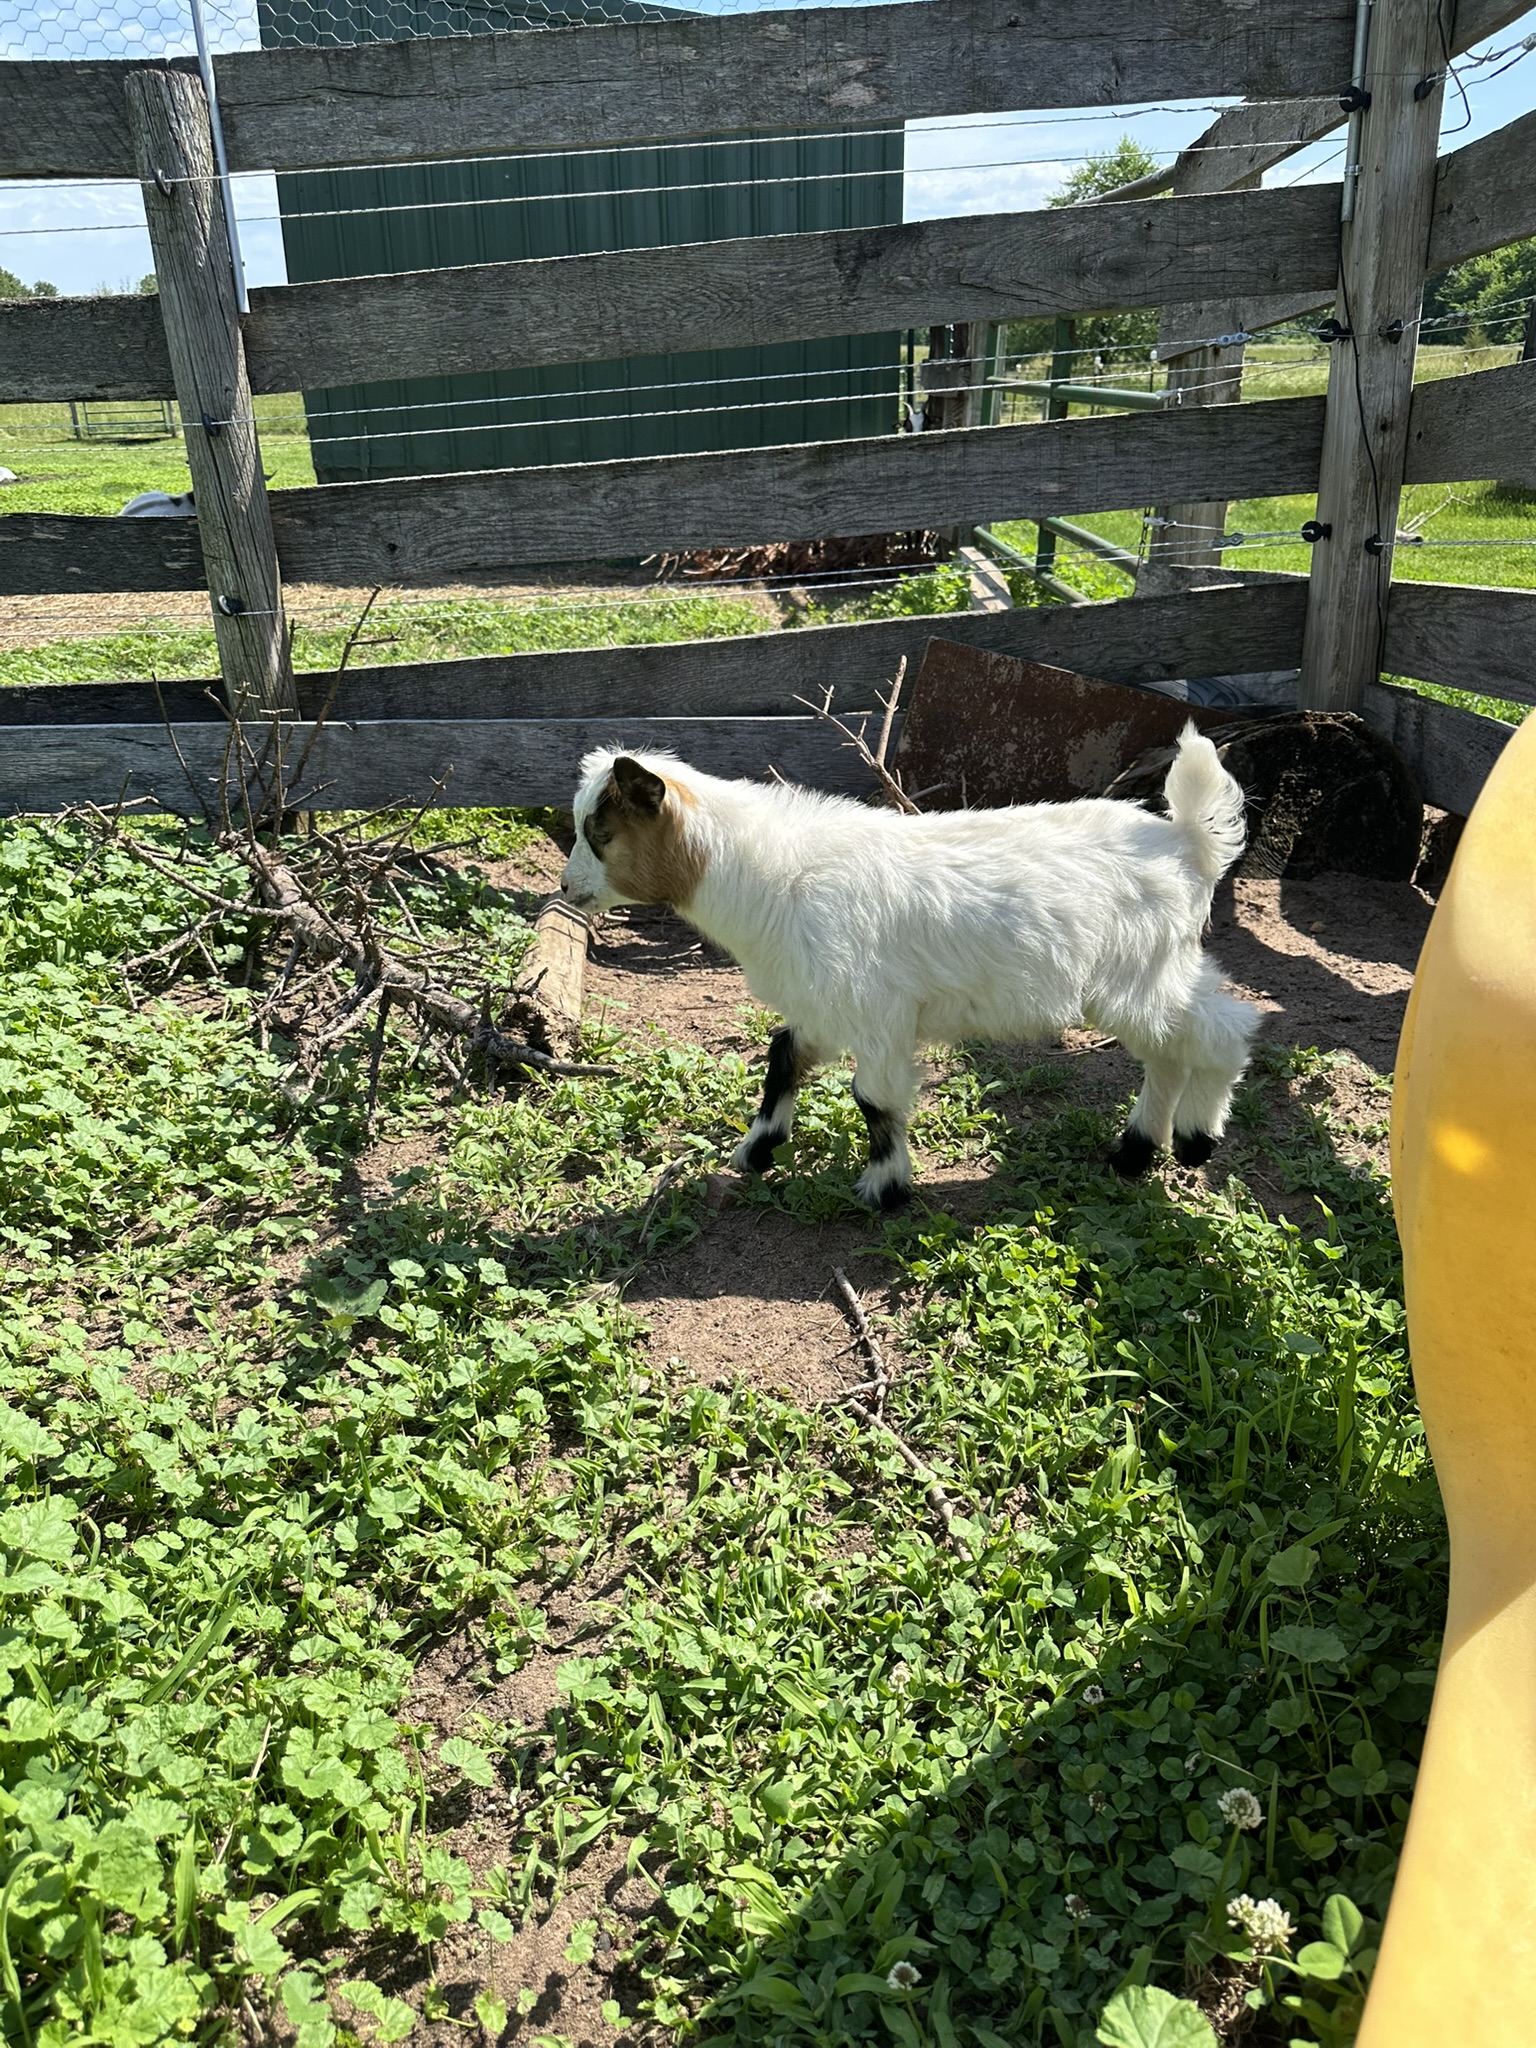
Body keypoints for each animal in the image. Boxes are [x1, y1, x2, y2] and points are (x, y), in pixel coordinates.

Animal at [560, 731, 1260, 1210]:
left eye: (601, 833)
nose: (566, 888)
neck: (772, 876)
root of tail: (1186, 844)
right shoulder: (824, 1004)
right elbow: (783, 1056)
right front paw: (759, 1149)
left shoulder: (876, 1012)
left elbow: (872, 1097)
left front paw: (884, 1187)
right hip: (1147, 980)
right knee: (1169, 1051)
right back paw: (1135, 1153)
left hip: (1142, 974)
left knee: (1225, 1029)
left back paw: (1196, 1138)